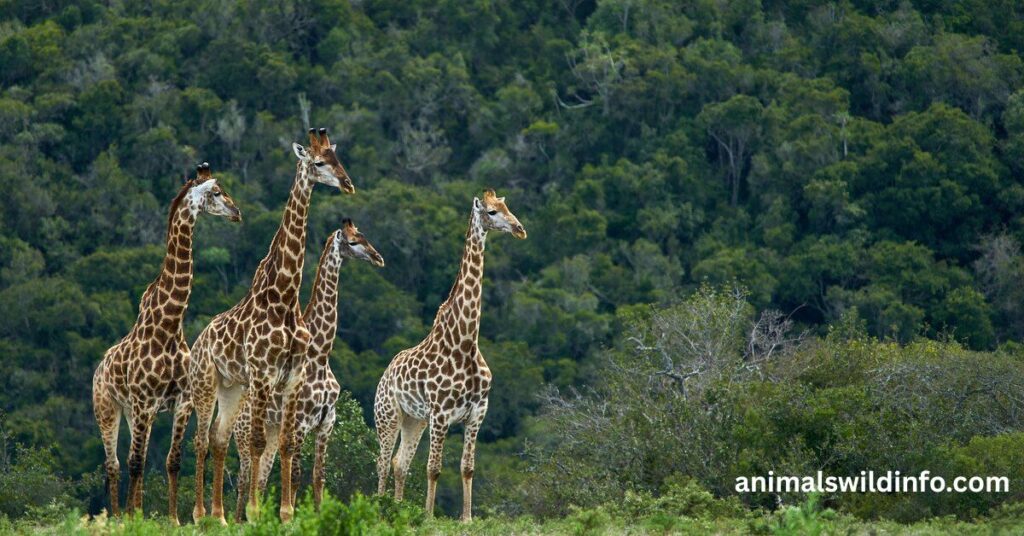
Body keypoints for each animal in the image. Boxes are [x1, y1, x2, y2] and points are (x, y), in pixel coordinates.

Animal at [92, 163, 241, 525]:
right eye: (217, 192)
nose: (237, 212)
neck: (170, 325)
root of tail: (99, 368)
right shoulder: (144, 401)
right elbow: (136, 463)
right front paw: (133, 519)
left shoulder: (181, 401)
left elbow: (171, 461)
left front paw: (173, 519)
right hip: (107, 407)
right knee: (115, 464)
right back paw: (117, 517)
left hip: (131, 412)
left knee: (133, 458)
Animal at [189, 128, 354, 524]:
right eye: (319, 162)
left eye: (338, 159)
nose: (348, 184)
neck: (283, 297)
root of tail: (199, 340)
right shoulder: (264, 374)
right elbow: (259, 443)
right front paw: (254, 512)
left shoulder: (292, 377)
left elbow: (289, 447)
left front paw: (287, 514)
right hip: (207, 383)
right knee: (203, 440)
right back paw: (201, 514)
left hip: (233, 386)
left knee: (218, 439)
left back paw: (218, 515)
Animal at [233, 219, 385, 522]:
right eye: (353, 241)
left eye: (364, 235)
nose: (378, 258)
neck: (321, 355)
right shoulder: (302, 423)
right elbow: (296, 474)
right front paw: (292, 517)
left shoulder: (327, 423)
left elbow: (318, 476)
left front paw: (317, 515)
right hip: (244, 439)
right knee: (243, 480)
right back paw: (235, 519)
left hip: (271, 432)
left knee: (260, 478)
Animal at [374, 189, 526, 522]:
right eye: (492, 212)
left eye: (507, 206)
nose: (519, 229)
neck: (465, 344)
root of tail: (385, 373)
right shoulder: (441, 414)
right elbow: (434, 468)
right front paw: (429, 517)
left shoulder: (477, 412)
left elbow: (467, 468)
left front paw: (466, 518)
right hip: (388, 415)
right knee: (382, 461)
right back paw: (379, 508)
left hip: (414, 421)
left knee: (399, 463)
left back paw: (398, 509)